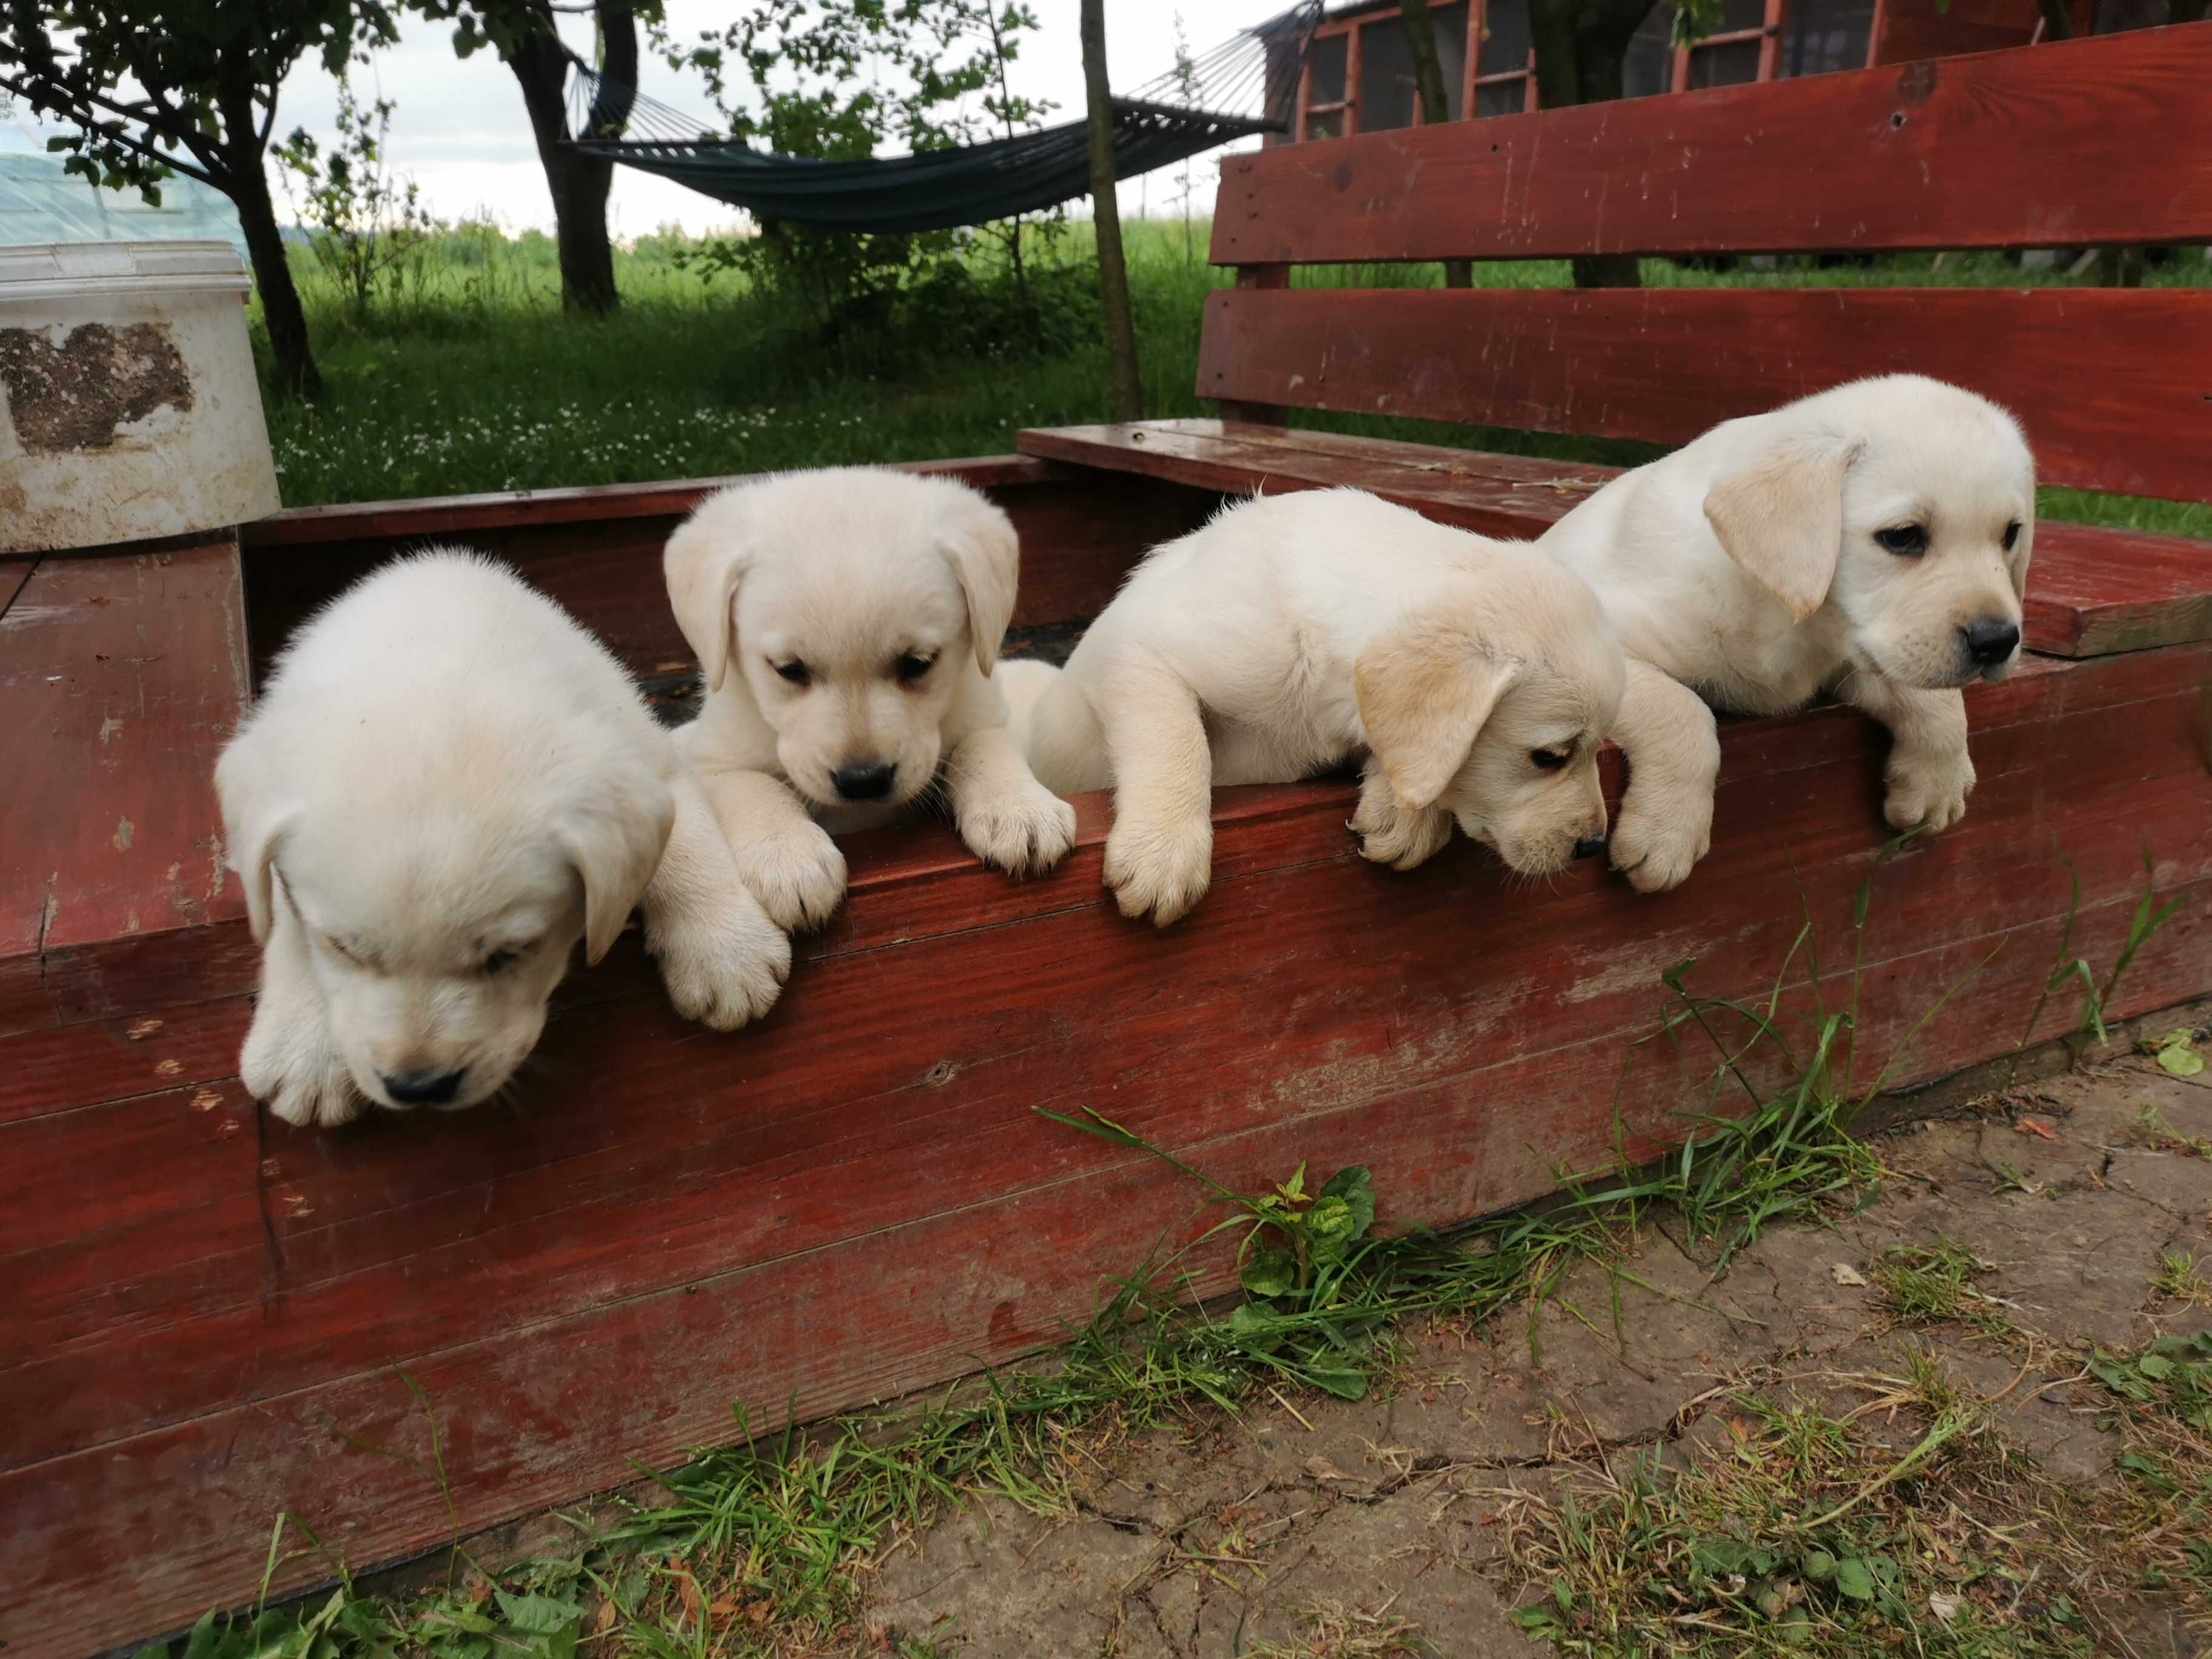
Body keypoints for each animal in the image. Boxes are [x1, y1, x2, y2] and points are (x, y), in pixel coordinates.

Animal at [220, 553, 791, 1141]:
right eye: (344, 948)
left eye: (507, 955)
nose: (418, 1086)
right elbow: (283, 919)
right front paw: (303, 1045)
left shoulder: (646, 756)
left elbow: (684, 844)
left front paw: (723, 950)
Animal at [663, 469, 1079, 937]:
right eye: (789, 669)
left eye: (918, 663)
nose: (863, 780)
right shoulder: (713, 760)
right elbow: (750, 784)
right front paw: (788, 856)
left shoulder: (983, 711)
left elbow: (984, 745)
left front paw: (1020, 808)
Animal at [1017, 493, 1627, 929]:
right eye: (1549, 757)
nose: (1593, 847)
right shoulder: (1139, 647)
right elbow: (1176, 739)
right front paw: (1164, 851)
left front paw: (1405, 812)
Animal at [1540, 376, 2035, 898]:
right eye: (1902, 536)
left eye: (2010, 535)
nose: (1997, 641)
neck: (1780, 612)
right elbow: (1682, 709)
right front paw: (1669, 833)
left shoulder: (1850, 653)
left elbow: (1932, 696)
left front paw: (1939, 781)